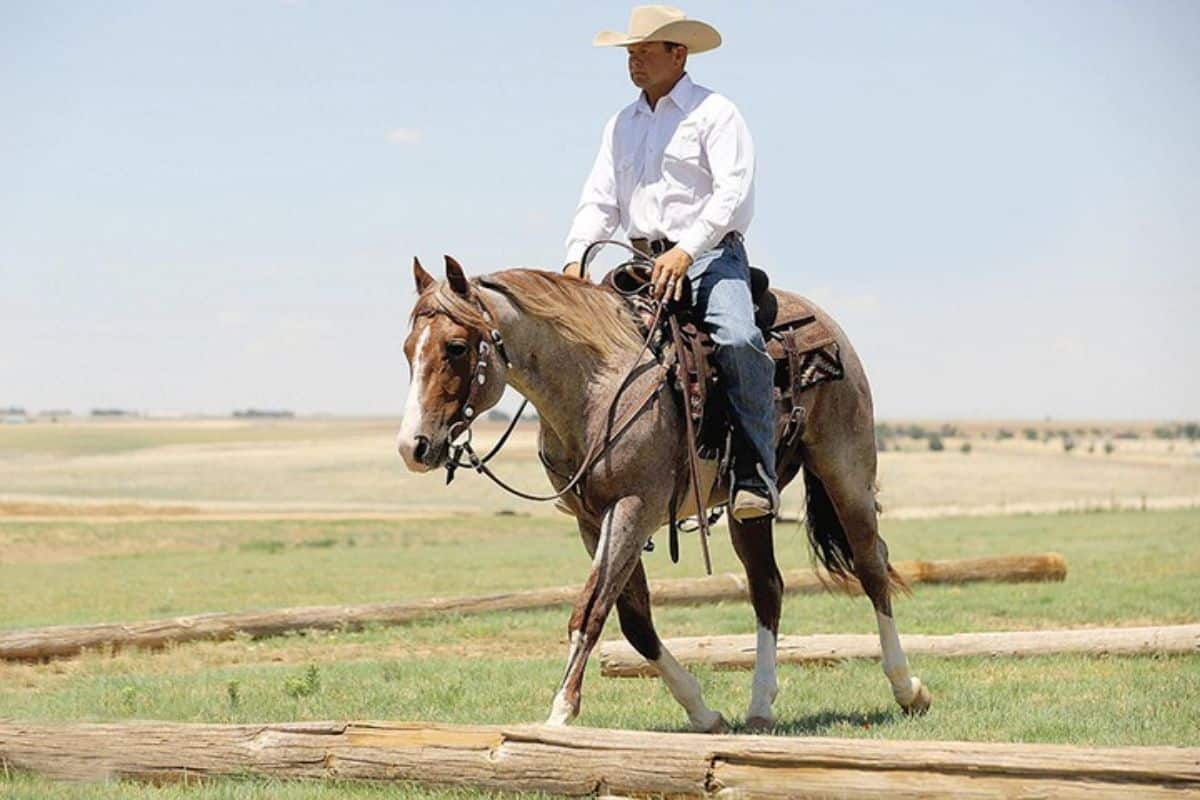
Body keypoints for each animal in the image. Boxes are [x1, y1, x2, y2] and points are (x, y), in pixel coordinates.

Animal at [398, 255, 931, 734]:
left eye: (456, 347)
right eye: (407, 349)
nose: (413, 446)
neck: (598, 384)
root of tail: (826, 324)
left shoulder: (634, 508)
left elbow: (589, 611)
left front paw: (558, 716)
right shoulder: (593, 520)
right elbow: (633, 620)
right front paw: (702, 711)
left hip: (847, 471)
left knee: (871, 567)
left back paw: (907, 688)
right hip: (749, 506)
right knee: (767, 587)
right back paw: (760, 705)